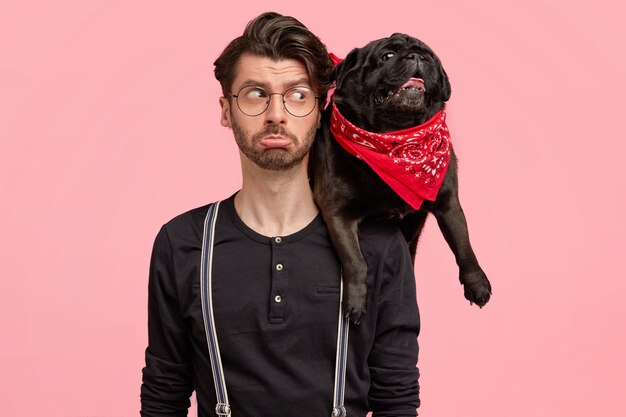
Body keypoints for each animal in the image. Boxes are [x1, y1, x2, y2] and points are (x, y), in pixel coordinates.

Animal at [310, 34, 490, 324]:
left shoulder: (448, 203)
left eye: (430, 57)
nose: (416, 57)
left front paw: (477, 284)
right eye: (387, 56)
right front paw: (356, 301)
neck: (396, 137)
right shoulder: (337, 213)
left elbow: (463, 245)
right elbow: (355, 261)